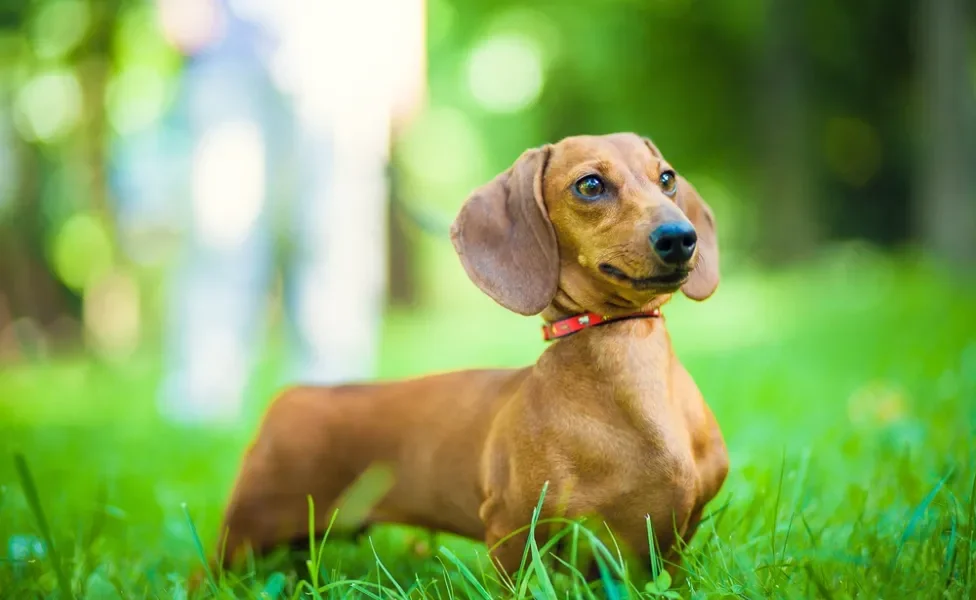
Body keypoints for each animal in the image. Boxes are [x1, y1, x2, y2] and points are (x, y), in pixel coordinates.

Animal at [215, 131, 732, 580]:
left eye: (666, 178)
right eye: (590, 185)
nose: (680, 237)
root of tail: (294, 396)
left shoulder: (672, 544)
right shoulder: (513, 528)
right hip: (245, 532)